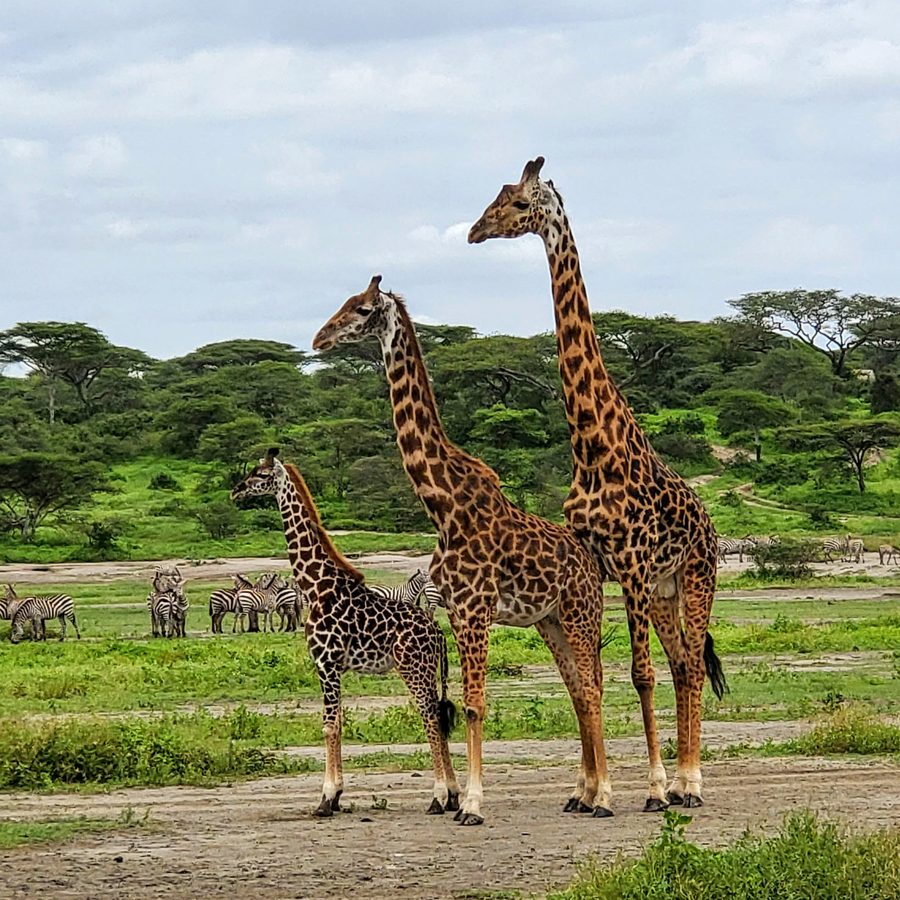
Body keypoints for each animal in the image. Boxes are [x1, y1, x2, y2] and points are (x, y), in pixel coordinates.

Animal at [230, 450, 460, 817]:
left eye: (260, 474)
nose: (236, 490)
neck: (316, 586)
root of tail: (437, 631)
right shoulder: (334, 667)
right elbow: (338, 723)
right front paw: (336, 795)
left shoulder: (325, 663)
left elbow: (329, 726)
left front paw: (325, 798)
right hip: (428, 672)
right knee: (439, 716)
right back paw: (452, 795)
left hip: (413, 669)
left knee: (430, 718)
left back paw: (438, 796)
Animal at [313, 276, 611, 825]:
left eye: (361, 309)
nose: (319, 339)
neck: (442, 506)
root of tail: (589, 559)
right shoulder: (454, 609)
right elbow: (459, 704)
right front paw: (457, 796)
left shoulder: (476, 609)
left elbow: (474, 704)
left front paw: (470, 803)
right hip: (550, 620)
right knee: (580, 691)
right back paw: (582, 793)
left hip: (580, 612)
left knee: (594, 688)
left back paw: (603, 797)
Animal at [468, 157, 726, 810]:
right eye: (496, 197)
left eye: (518, 203)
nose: (475, 231)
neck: (591, 446)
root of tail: (711, 524)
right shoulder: (597, 564)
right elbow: (590, 678)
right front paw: (586, 791)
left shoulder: (631, 564)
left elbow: (639, 674)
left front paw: (652, 789)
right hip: (662, 591)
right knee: (683, 662)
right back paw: (682, 779)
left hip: (695, 577)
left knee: (688, 664)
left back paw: (689, 783)